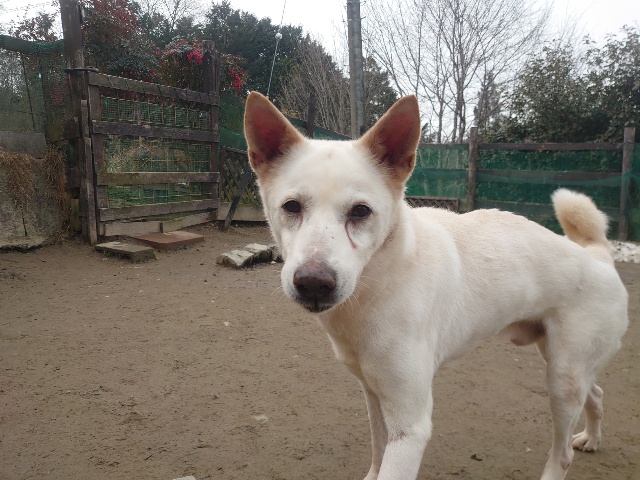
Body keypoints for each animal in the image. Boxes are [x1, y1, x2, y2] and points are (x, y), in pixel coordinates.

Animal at [244, 92, 628, 480]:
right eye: (292, 206)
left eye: (361, 211)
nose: (313, 283)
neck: (381, 281)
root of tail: (598, 255)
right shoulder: (373, 392)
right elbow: (377, 453)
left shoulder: (411, 424)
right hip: (565, 366)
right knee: (597, 394)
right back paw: (591, 438)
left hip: (562, 379)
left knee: (563, 454)